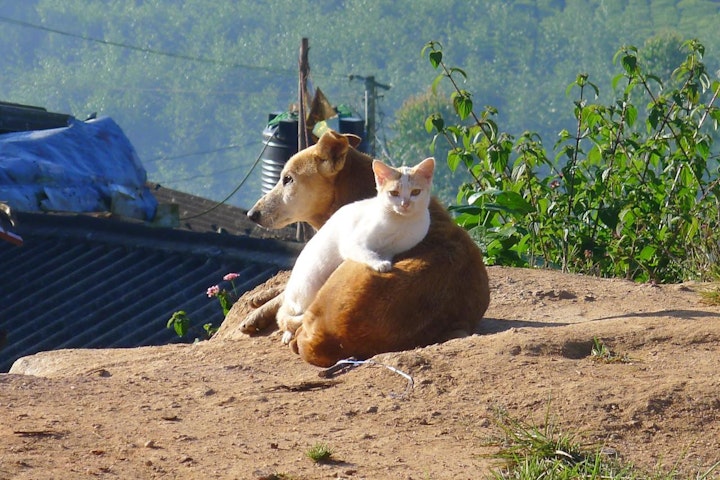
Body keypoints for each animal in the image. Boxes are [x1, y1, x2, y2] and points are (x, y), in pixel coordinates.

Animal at [274, 158, 434, 344]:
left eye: (416, 192)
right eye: (394, 193)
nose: (405, 204)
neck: (401, 223)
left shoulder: (393, 248)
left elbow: (385, 253)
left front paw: (384, 261)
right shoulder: (352, 243)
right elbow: (366, 252)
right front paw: (379, 264)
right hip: (307, 286)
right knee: (290, 314)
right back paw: (288, 333)